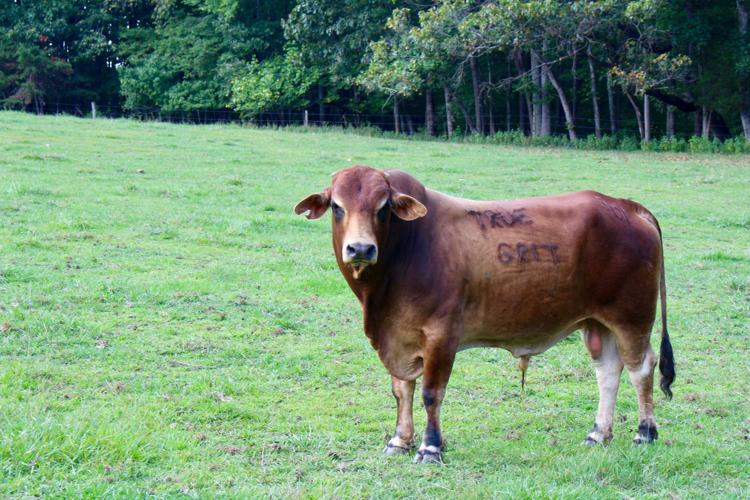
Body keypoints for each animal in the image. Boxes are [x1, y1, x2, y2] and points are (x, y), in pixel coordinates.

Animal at [294, 165, 675, 464]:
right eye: (337, 207)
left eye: (384, 207)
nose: (360, 248)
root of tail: (624, 205)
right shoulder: (398, 337)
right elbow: (402, 390)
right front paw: (399, 441)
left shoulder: (441, 336)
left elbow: (431, 393)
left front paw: (430, 448)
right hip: (597, 323)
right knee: (608, 372)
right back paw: (598, 433)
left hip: (632, 318)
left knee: (641, 369)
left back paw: (645, 432)